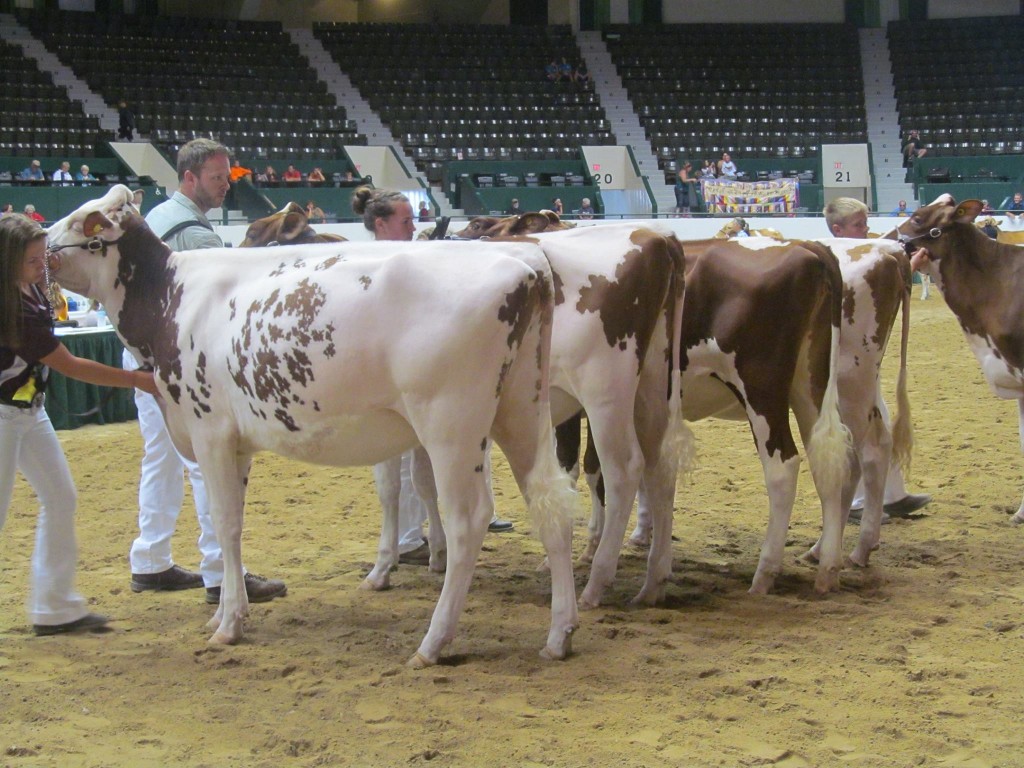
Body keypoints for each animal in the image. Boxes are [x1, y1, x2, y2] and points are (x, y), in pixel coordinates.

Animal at [44, 185, 579, 668]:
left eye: (83, 222)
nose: (41, 242)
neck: (173, 299)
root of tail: (527, 268)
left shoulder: (210, 430)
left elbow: (225, 522)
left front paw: (229, 623)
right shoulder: (235, 444)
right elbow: (233, 524)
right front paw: (225, 613)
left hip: (452, 423)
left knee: (469, 520)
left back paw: (433, 642)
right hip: (522, 408)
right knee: (550, 501)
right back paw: (559, 634)